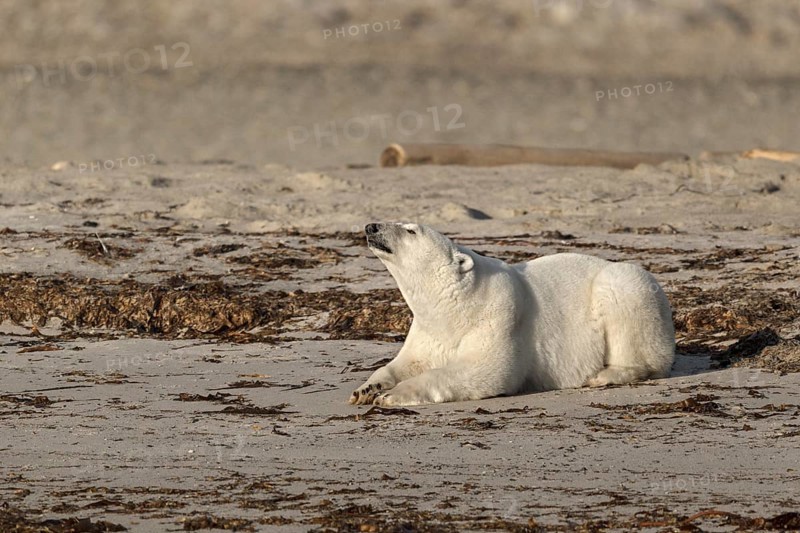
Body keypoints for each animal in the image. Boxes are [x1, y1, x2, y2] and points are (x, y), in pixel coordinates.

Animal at [349, 222, 675, 407]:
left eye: (410, 229)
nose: (371, 226)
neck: (458, 304)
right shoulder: (429, 331)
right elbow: (408, 362)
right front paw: (367, 389)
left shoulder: (498, 315)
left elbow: (485, 370)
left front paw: (391, 395)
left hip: (632, 290)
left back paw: (603, 375)